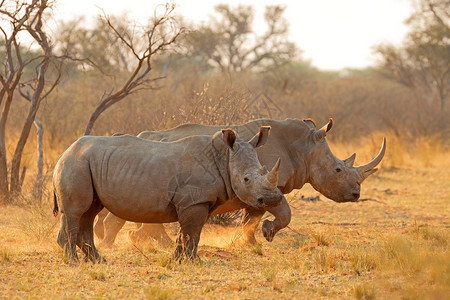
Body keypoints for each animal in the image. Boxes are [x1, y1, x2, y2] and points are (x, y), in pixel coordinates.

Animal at [51, 126, 278, 262]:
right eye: (246, 180)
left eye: (264, 170)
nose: (273, 199)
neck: (224, 158)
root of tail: (64, 152)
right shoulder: (194, 202)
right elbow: (192, 233)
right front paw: (194, 262)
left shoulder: (195, 202)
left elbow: (186, 234)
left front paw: (178, 260)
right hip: (75, 164)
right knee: (75, 212)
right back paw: (74, 262)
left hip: (85, 164)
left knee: (88, 212)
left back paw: (98, 261)